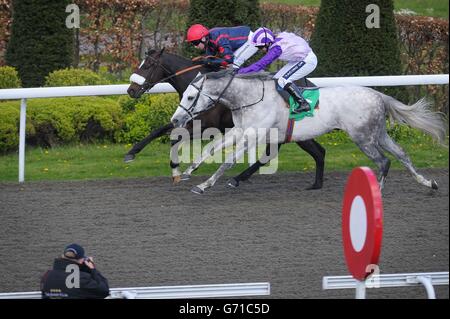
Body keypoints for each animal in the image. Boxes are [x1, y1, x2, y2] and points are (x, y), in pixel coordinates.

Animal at [125, 48, 326, 189]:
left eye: (147, 66)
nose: (131, 90)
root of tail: (307, 85)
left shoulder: (206, 126)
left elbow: (175, 137)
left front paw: (176, 170)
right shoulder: (186, 117)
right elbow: (160, 130)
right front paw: (131, 153)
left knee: (280, 154)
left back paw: (237, 179)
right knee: (317, 152)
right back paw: (316, 184)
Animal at [171, 70, 444, 195]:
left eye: (191, 96)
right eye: (183, 94)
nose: (176, 119)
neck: (249, 98)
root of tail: (377, 95)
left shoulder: (254, 135)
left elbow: (227, 161)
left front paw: (204, 185)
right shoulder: (239, 130)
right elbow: (210, 149)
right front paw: (186, 172)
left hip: (363, 137)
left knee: (384, 161)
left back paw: (377, 189)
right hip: (378, 134)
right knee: (402, 155)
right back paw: (428, 182)